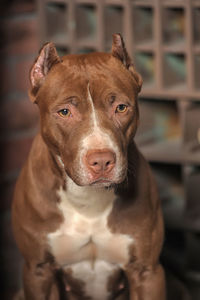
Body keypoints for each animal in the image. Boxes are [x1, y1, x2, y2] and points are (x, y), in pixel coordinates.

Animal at [12, 34, 166, 298]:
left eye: (121, 107)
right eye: (64, 112)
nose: (102, 160)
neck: (86, 200)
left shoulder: (147, 271)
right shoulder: (38, 271)